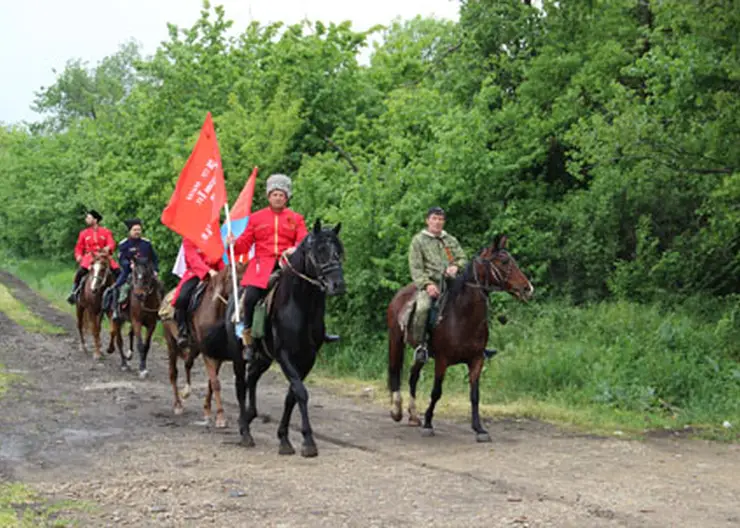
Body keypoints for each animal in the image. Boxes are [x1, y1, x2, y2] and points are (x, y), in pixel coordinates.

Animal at [204, 220, 346, 458]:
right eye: (319, 251)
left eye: (339, 251)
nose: (338, 285)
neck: (301, 306)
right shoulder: (284, 355)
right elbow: (301, 393)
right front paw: (308, 441)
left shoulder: (307, 359)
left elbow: (292, 395)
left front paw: (284, 438)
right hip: (239, 356)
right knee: (241, 384)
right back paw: (245, 432)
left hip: (263, 357)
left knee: (252, 378)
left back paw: (251, 414)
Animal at [388, 234, 532, 442]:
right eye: (504, 261)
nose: (528, 288)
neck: (462, 316)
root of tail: (400, 295)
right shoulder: (442, 360)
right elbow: (436, 392)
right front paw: (429, 423)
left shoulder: (477, 360)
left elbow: (475, 395)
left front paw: (479, 429)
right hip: (395, 341)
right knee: (395, 372)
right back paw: (396, 411)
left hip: (421, 354)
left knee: (413, 376)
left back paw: (414, 416)